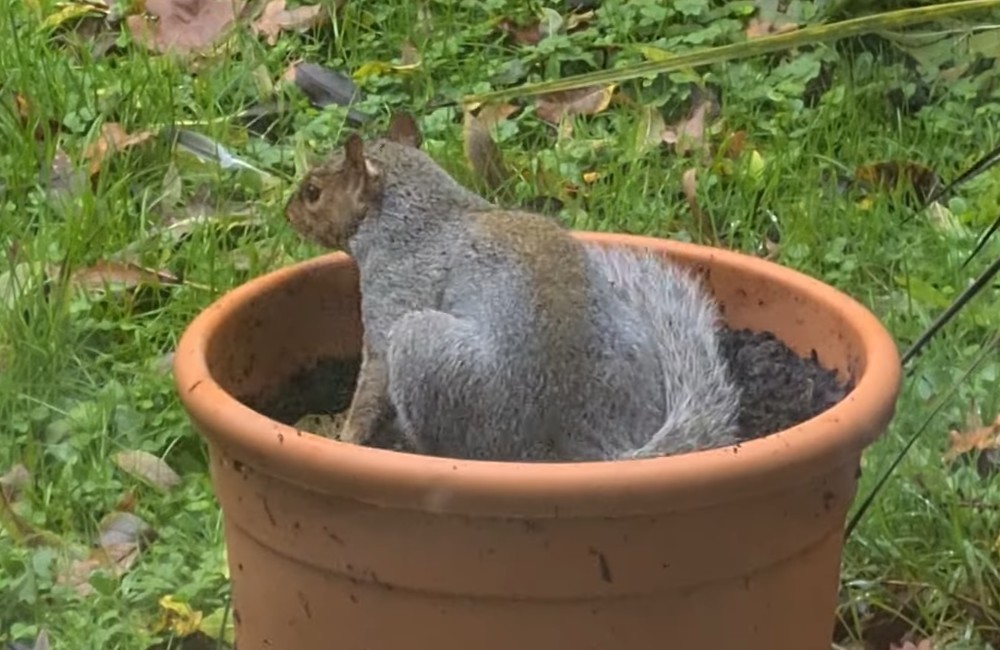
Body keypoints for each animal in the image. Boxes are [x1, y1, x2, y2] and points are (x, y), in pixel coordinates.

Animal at [284, 110, 744, 460]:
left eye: (313, 192)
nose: (287, 214)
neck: (422, 213)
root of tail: (570, 450)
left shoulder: (395, 289)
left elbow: (373, 376)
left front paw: (346, 437)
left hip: (426, 350)